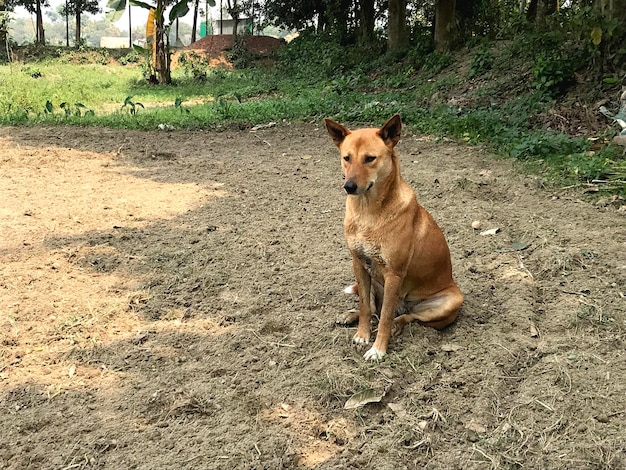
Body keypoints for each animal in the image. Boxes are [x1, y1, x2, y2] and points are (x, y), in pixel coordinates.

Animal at [324, 114, 460, 360]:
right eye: (346, 158)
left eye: (370, 159)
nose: (349, 186)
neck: (367, 213)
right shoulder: (358, 264)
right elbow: (365, 306)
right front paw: (362, 335)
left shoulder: (393, 274)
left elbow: (386, 317)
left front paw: (378, 349)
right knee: (373, 309)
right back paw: (350, 314)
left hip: (448, 301)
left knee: (407, 316)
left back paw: (398, 323)